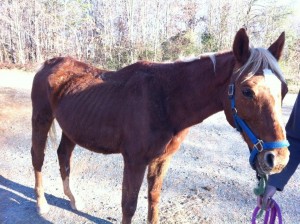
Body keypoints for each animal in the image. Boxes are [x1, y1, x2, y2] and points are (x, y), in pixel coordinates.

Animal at [31, 28, 290, 223]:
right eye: (247, 91)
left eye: (284, 90)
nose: (278, 159)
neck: (165, 99)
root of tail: (49, 63)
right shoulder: (135, 161)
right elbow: (129, 205)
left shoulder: (161, 159)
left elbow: (154, 199)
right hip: (41, 119)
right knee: (38, 158)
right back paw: (42, 204)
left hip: (71, 129)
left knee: (64, 156)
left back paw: (74, 199)